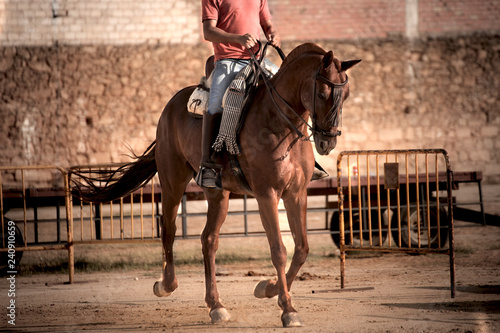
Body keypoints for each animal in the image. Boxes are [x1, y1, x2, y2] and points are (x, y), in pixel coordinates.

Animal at [76, 42, 360, 326]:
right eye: (322, 93)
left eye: (346, 95)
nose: (328, 142)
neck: (278, 124)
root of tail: (173, 103)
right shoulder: (267, 195)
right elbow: (279, 250)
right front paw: (287, 309)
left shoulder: (296, 194)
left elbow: (301, 249)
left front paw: (268, 288)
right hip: (172, 183)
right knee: (169, 229)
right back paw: (166, 285)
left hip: (217, 194)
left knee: (208, 239)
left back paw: (216, 305)